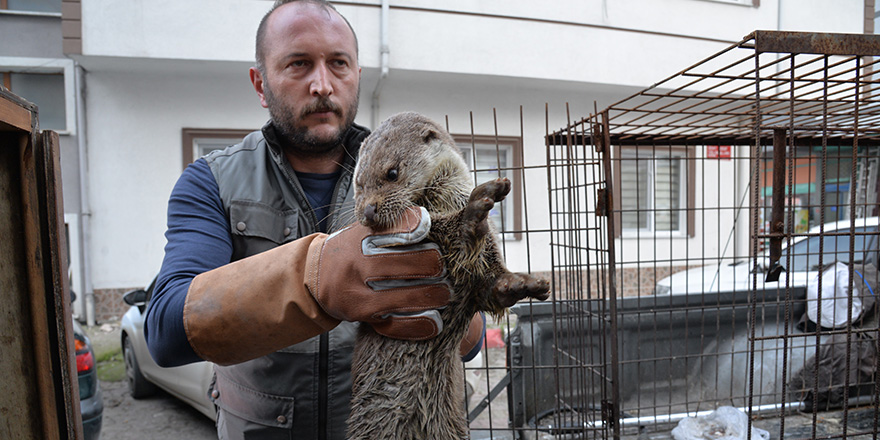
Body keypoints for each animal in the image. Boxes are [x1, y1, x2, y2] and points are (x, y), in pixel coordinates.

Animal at [348, 111, 552, 438]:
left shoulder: (484, 267)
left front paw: (521, 283)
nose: (367, 211)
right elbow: (450, 228)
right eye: (358, 182)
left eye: (392, 173)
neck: (443, 197)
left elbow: (493, 286)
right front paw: (474, 211)